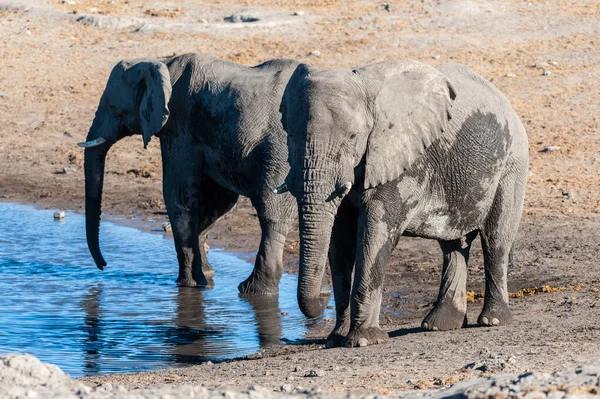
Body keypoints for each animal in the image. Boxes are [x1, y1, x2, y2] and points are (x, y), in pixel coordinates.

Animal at [278, 58, 528, 346]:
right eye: (290, 136)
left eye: (353, 137)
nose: (320, 296)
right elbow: (340, 239)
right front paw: (335, 340)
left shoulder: (402, 157)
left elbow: (375, 233)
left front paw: (364, 340)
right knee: (453, 246)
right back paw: (440, 325)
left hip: (512, 162)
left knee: (496, 240)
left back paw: (493, 320)